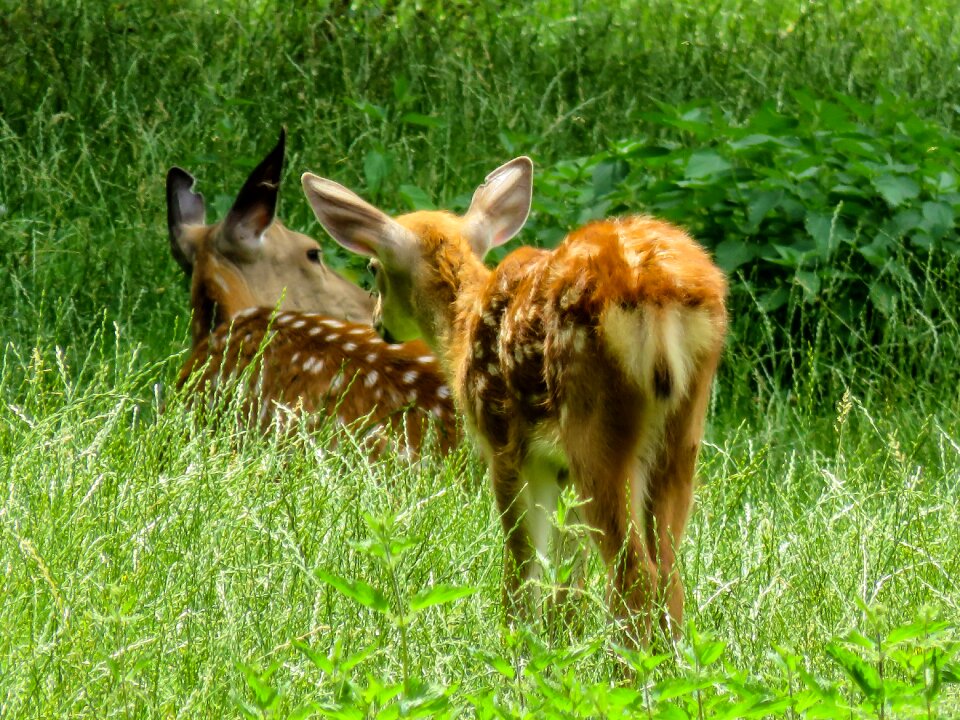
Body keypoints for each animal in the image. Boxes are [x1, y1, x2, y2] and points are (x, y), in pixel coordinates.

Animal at [304, 159, 724, 640]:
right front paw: (561, 643)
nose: (377, 322)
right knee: (669, 572)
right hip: (682, 430)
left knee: (636, 574)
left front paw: (516, 644)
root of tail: (658, 294)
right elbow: (568, 572)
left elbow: (523, 561)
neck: (462, 329)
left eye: (373, 266)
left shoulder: (503, 441)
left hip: (595, 424)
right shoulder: (559, 467)